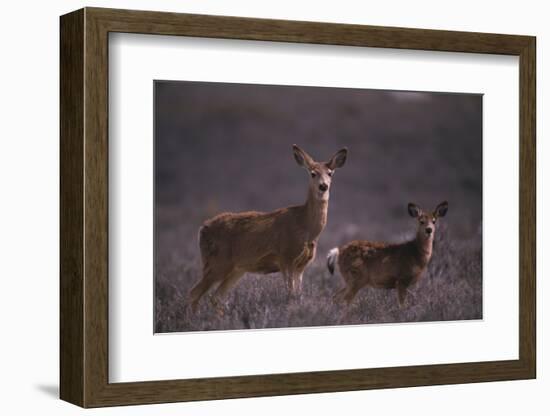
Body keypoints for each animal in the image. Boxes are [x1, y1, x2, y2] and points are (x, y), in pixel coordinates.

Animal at [190, 145, 350, 310]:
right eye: (313, 173)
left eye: (330, 173)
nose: (323, 186)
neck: (305, 227)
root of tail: (203, 229)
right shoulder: (285, 257)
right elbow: (289, 295)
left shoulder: (301, 265)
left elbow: (298, 295)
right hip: (218, 261)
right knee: (194, 293)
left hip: (236, 269)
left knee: (216, 297)